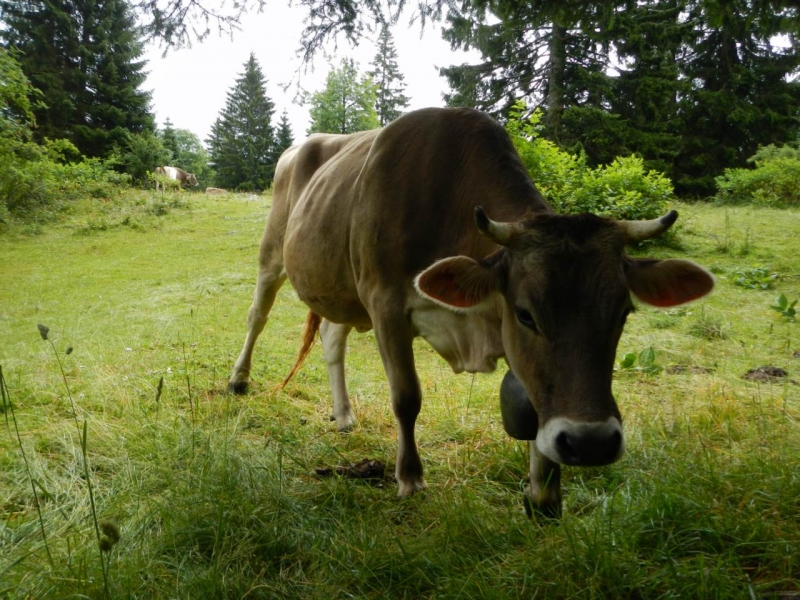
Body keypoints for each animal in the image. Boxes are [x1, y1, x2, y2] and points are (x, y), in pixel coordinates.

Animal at [228, 108, 714, 516]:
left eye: (623, 313)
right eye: (525, 313)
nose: (591, 442)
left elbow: (529, 406)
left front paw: (544, 493)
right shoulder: (385, 302)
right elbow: (407, 397)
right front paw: (410, 478)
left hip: (340, 287)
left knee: (332, 338)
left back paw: (344, 414)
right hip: (274, 252)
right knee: (257, 314)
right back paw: (238, 379)